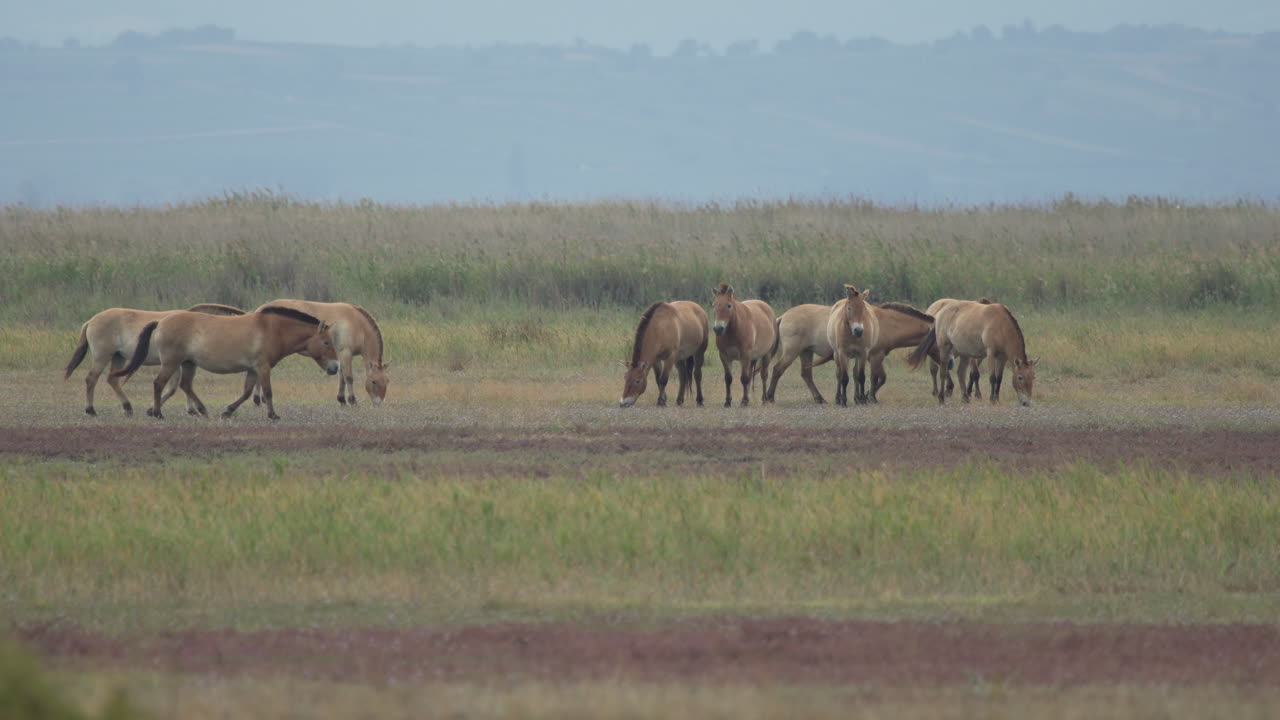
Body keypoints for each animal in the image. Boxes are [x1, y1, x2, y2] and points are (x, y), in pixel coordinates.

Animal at [64, 303, 246, 416]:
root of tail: (91, 321)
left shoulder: (178, 363)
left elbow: (174, 388)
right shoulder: (175, 362)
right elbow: (174, 387)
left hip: (118, 357)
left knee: (112, 380)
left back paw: (127, 407)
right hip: (102, 356)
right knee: (91, 379)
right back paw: (91, 410)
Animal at [111, 306, 340, 420]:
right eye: (326, 342)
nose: (335, 367)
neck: (273, 329)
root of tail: (161, 322)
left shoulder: (253, 369)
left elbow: (247, 393)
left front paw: (228, 411)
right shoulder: (263, 367)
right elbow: (267, 392)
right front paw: (273, 415)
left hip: (188, 363)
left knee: (186, 385)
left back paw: (202, 410)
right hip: (171, 363)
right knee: (159, 384)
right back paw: (158, 413)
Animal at [253, 300, 391, 406]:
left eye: (387, 381)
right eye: (374, 381)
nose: (379, 403)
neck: (357, 325)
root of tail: (259, 309)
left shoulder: (340, 357)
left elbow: (342, 377)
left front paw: (342, 400)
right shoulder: (345, 353)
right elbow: (348, 378)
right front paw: (352, 401)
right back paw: (258, 400)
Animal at [907, 300, 1039, 406]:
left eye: (1033, 377)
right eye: (1020, 377)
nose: (1026, 402)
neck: (1001, 325)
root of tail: (940, 312)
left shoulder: (1002, 357)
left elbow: (999, 378)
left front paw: (996, 398)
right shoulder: (991, 354)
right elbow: (992, 377)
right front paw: (992, 399)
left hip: (964, 353)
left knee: (960, 373)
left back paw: (965, 398)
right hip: (945, 348)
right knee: (942, 372)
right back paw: (941, 398)